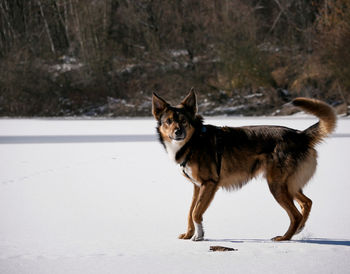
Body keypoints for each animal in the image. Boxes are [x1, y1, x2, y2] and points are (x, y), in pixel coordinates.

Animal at [152, 89, 336, 240]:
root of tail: (300, 135)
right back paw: (299, 229)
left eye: (183, 121)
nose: (178, 132)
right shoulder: (197, 186)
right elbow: (190, 211)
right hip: (288, 184)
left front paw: (199, 236)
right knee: (307, 203)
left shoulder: (209, 184)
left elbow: (196, 212)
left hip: (276, 185)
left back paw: (285, 237)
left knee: (295, 214)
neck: (194, 141)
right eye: (168, 121)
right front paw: (189, 234)